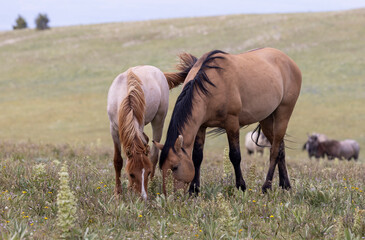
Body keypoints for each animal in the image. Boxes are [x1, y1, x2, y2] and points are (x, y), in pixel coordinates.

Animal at [107, 54, 196, 199]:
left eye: (147, 172)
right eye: (131, 174)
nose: (143, 197)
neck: (126, 98)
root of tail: (159, 72)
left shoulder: (139, 127)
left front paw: (129, 189)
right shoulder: (114, 129)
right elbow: (118, 160)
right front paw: (118, 193)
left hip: (159, 120)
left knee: (154, 154)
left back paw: (153, 184)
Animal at [154, 47, 302, 194]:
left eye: (175, 167)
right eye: (161, 168)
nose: (169, 195)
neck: (211, 87)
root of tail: (289, 61)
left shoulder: (232, 123)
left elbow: (235, 156)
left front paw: (241, 186)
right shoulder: (201, 127)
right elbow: (197, 157)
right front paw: (194, 189)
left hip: (283, 113)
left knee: (274, 151)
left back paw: (267, 187)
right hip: (266, 119)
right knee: (280, 148)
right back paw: (285, 185)